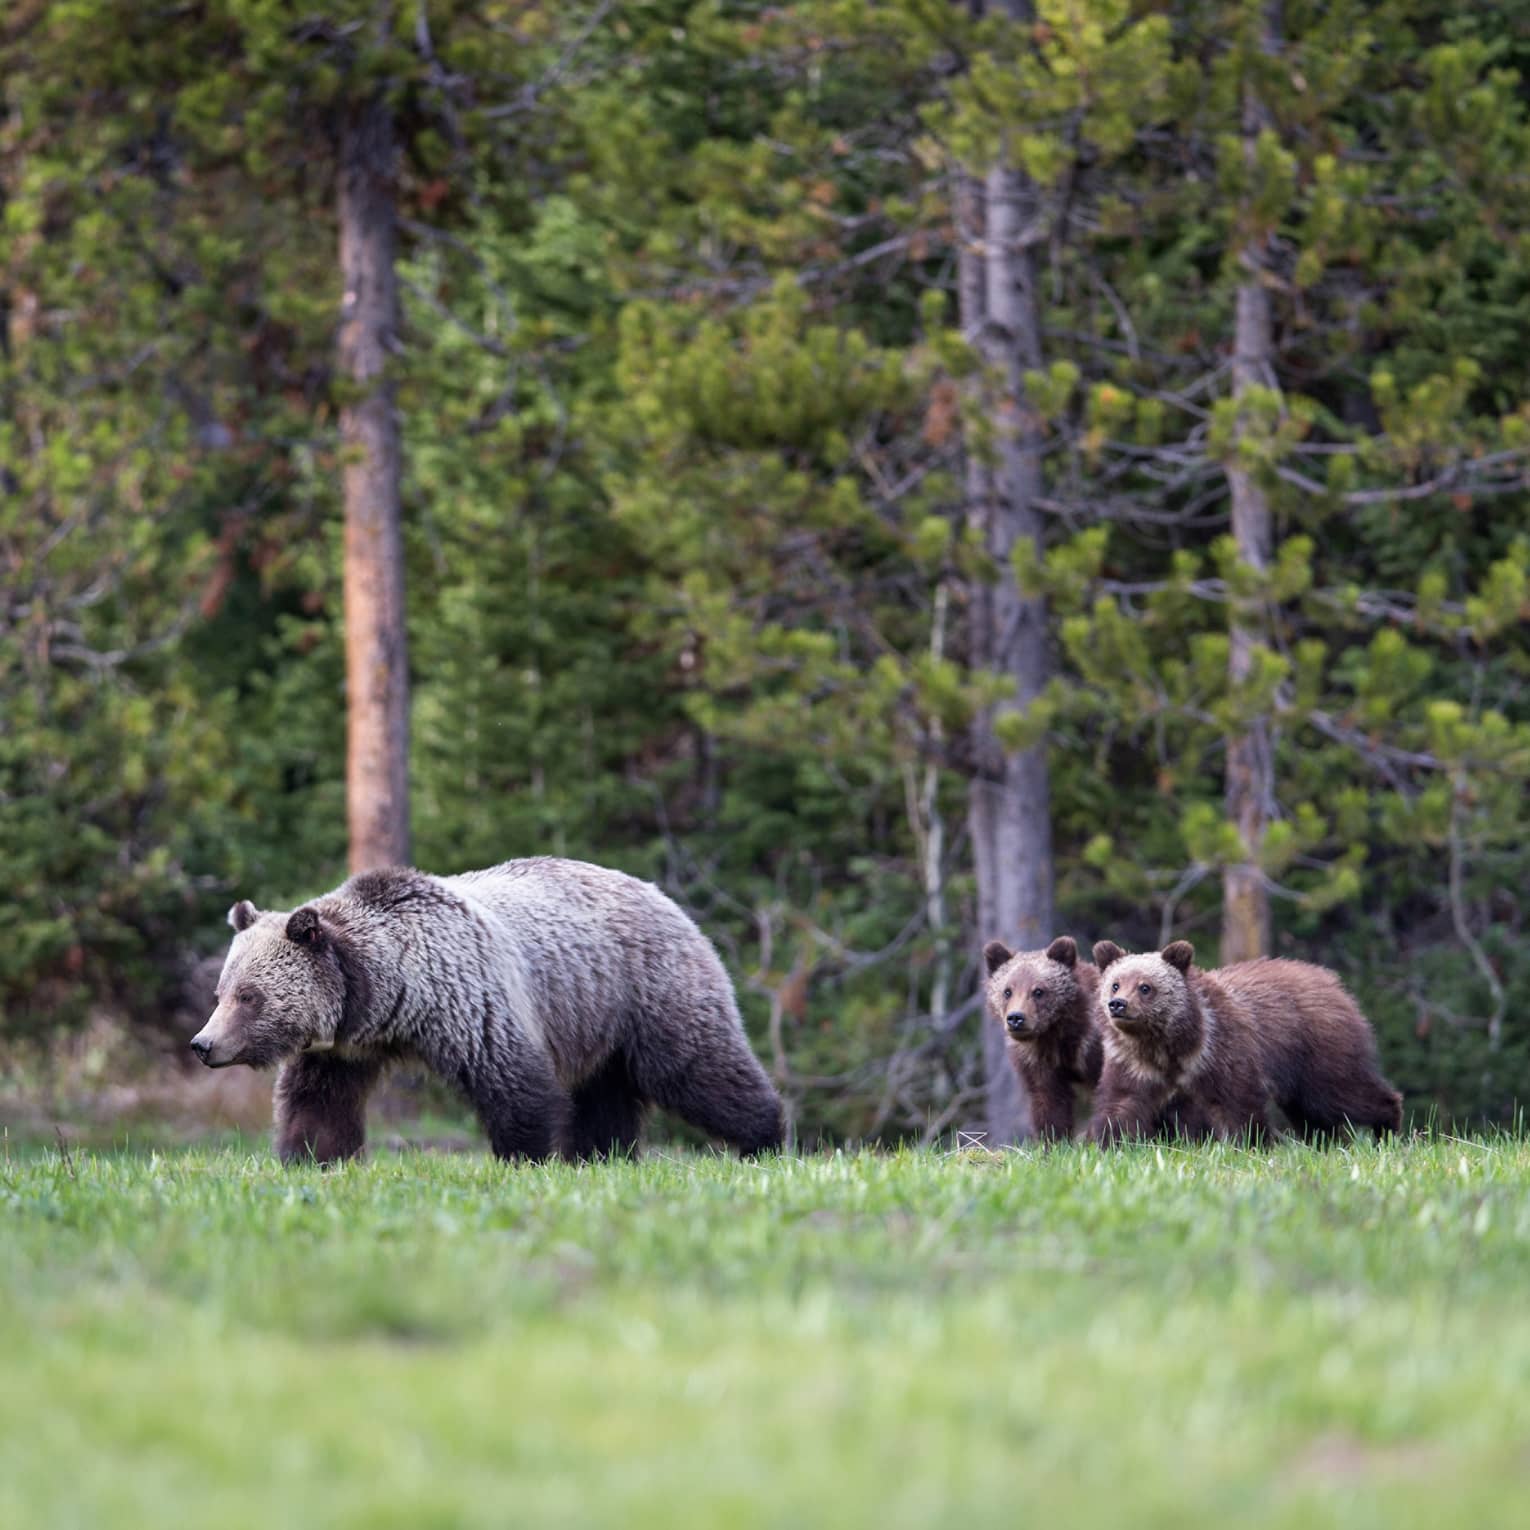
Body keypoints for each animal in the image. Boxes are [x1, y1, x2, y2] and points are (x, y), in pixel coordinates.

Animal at [188, 857, 785, 1165]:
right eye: (222, 991)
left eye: (249, 996)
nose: (203, 1044)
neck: (387, 992)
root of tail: (665, 896)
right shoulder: (343, 1046)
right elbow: (319, 1101)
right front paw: (312, 1155)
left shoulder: (470, 998)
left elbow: (515, 1083)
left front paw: (524, 1157)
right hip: (596, 1017)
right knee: (604, 1094)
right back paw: (601, 1155)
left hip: (647, 992)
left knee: (698, 1067)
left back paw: (766, 1137)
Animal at [981, 936, 1104, 1140]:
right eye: (1007, 991)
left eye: (1038, 991)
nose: (1016, 1018)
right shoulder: (1037, 1061)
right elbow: (1049, 1102)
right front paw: (1054, 1140)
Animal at [1085, 940, 1275, 1146]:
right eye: (1115, 985)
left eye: (1145, 987)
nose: (1118, 1004)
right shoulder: (1133, 1066)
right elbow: (1121, 1104)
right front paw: (1115, 1141)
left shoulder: (1214, 1055)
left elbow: (1234, 1104)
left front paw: (1247, 1141)